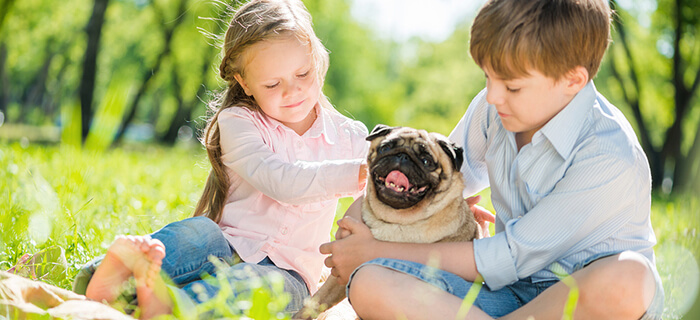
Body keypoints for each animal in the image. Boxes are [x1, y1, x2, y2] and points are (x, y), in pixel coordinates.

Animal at [296, 125, 482, 320]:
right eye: (386, 148)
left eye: (426, 161)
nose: (403, 156)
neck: (395, 220)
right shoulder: (339, 274)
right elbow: (317, 300)